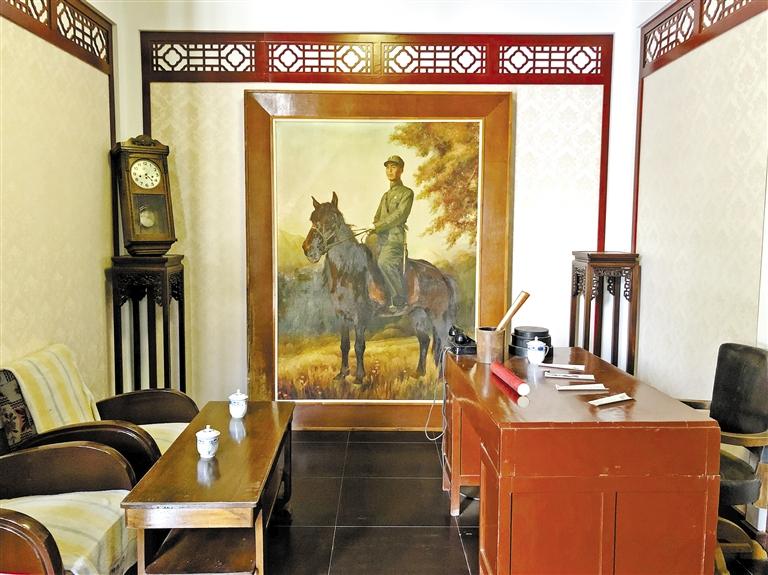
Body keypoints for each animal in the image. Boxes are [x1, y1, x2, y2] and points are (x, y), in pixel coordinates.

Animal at [302, 192, 457, 384]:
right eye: (312, 219)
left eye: (331, 219)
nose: (308, 249)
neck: (348, 270)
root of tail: (441, 275)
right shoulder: (341, 316)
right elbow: (344, 345)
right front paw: (342, 374)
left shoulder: (360, 317)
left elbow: (359, 346)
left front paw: (359, 378)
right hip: (417, 314)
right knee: (424, 340)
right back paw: (418, 373)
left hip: (438, 316)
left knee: (444, 343)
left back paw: (441, 379)